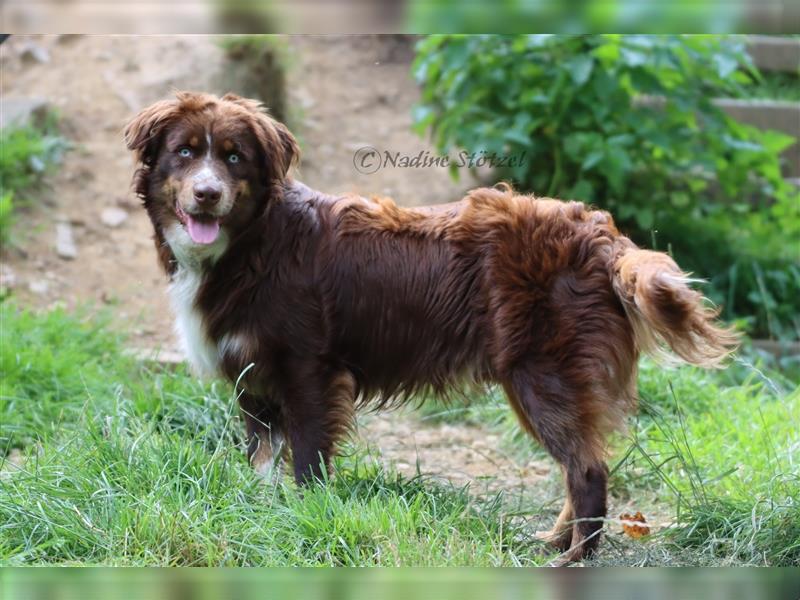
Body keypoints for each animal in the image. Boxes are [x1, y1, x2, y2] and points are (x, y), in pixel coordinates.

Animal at [125, 90, 736, 564]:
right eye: (185, 152)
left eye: (233, 157)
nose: (207, 194)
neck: (252, 245)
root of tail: (604, 237)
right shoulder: (253, 378)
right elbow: (261, 463)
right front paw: (263, 514)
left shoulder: (308, 370)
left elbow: (307, 462)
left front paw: (305, 518)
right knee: (578, 466)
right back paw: (553, 541)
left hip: (545, 376)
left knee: (588, 471)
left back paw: (573, 558)